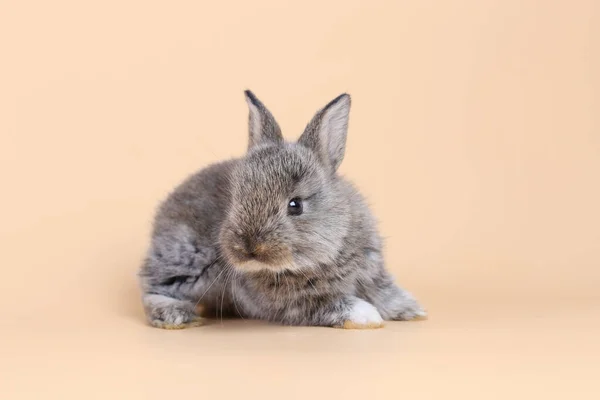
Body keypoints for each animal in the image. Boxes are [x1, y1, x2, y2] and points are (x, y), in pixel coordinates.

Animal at [138, 92, 426, 330]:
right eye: (235, 199)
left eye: (295, 205)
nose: (248, 247)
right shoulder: (295, 304)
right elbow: (333, 304)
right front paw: (367, 316)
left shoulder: (372, 274)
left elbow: (385, 293)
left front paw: (413, 311)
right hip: (185, 261)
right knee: (153, 287)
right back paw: (177, 316)